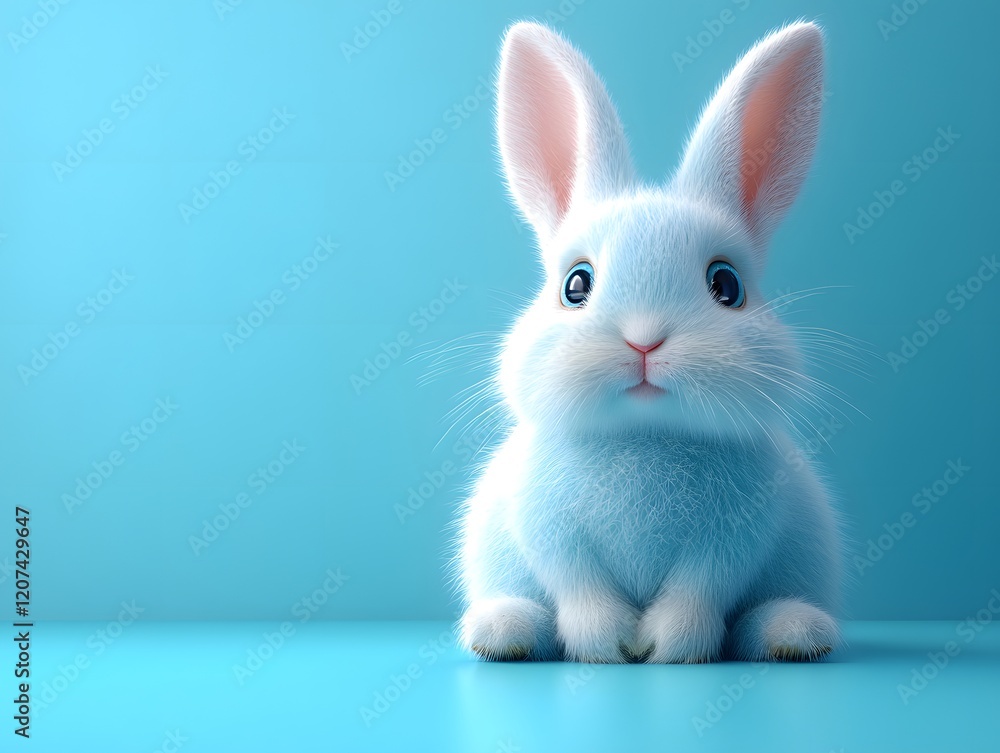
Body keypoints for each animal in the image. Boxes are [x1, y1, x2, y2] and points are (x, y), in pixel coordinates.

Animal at [455, 20, 843, 664]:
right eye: (575, 285)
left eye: (726, 285)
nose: (644, 340)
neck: (644, 439)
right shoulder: (549, 531)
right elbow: (580, 589)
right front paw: (607, 646)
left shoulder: (731, 541)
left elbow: (698, 593)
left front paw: (669, 648)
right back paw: (502, 631)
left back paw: (793, 633)